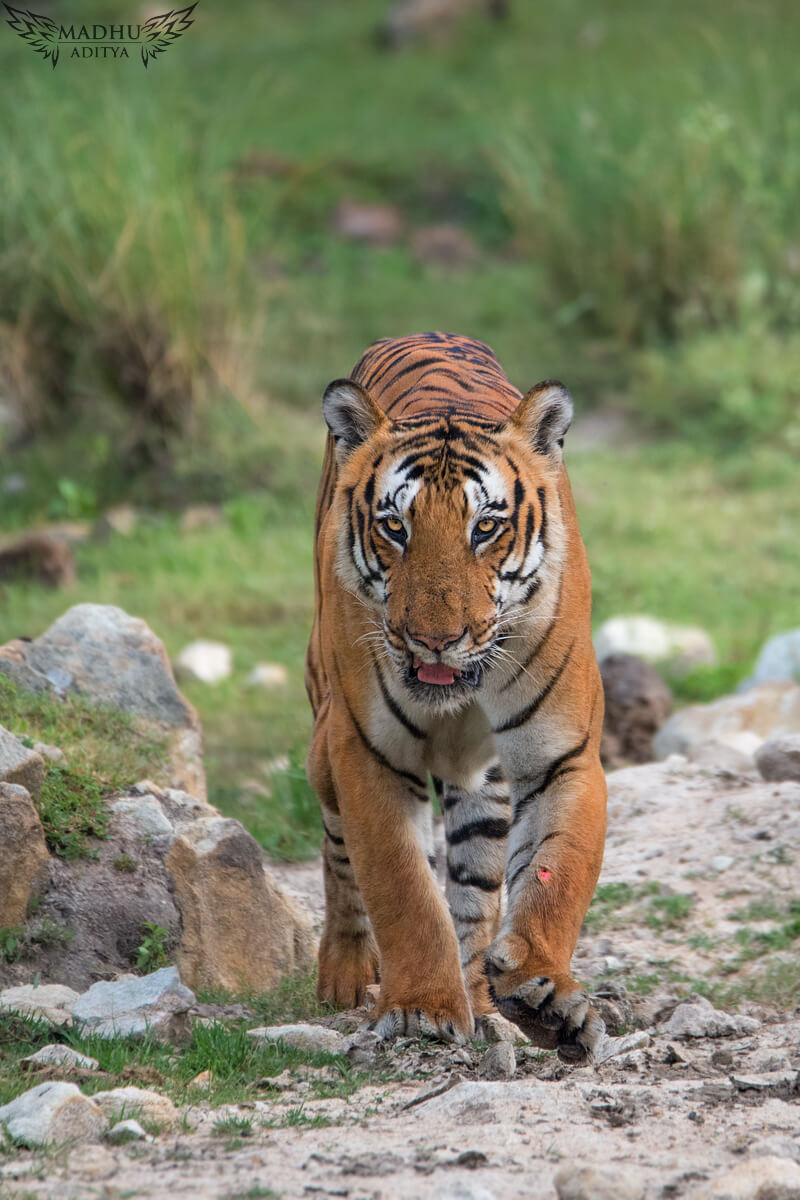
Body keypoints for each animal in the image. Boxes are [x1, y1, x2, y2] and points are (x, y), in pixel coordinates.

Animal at [307, 328, 606, 1060]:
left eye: (485, 527)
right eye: (395, 527)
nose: (435, 639)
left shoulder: (563, 756)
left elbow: (556, 877)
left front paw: (542, 994)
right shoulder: (367, 754)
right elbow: (402, 886)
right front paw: (422, 1007)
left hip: (487, 786)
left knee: (475, 889)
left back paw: (483, 999)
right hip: (324, 736)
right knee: (338, 852)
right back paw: (348, 971)